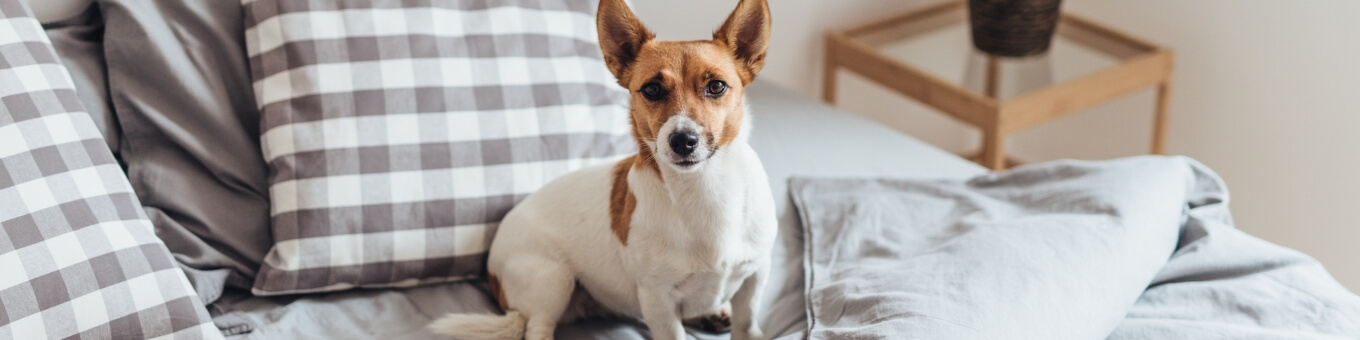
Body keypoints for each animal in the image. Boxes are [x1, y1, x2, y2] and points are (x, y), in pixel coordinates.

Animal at [429, 0, 783, 340]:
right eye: (652, 90)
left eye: (716, 87)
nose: (683, 140)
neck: (703, 188)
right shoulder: (657, 300)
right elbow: (673, 330)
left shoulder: (755, 276)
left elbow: (746, 323)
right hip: (552, 279)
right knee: (537, 328)